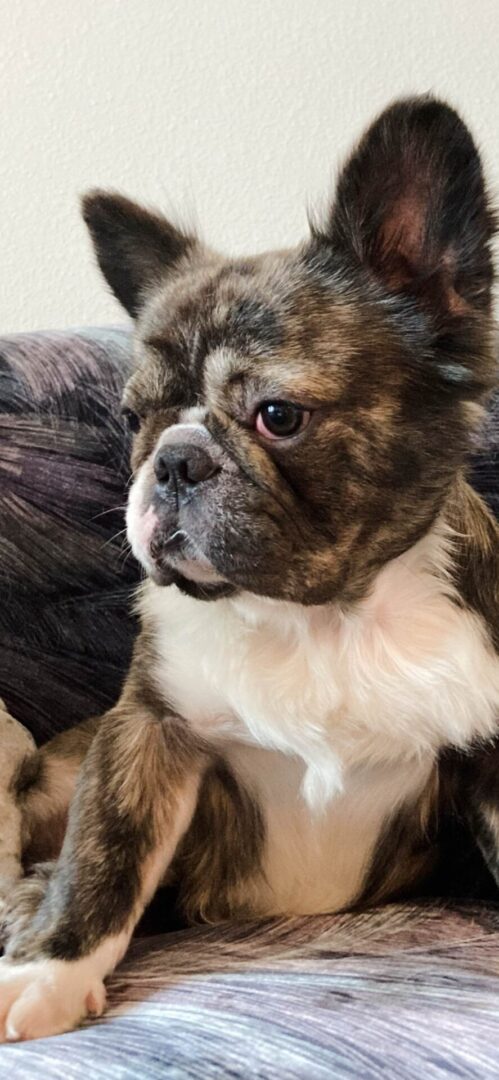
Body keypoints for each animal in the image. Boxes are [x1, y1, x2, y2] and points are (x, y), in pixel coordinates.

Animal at [0, 97, 499, 1041]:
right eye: (134, 419)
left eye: (277, 415)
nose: (174, 459)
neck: (324, 617)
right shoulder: (146, 737)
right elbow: (105, 856)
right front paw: (50, 970)